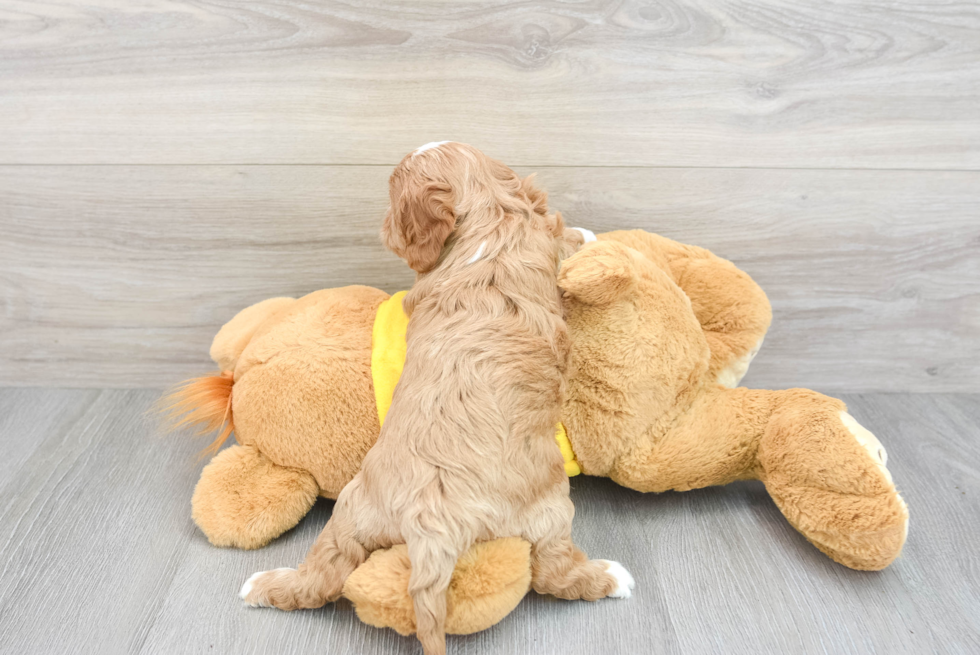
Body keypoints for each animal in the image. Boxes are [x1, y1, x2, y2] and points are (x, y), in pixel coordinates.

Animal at [241, 145, 632, 655]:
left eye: (392, 200)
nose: (382, 228)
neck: (486, 220)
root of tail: (430, 522)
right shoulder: (543, 243)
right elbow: (563, 233)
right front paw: (587, 233)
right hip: (549, 510)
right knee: (553, 573)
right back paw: (613, 577)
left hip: (351, 511)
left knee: (321, 579)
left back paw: (261, 585)